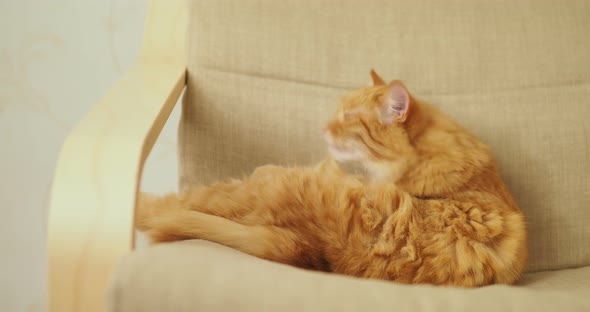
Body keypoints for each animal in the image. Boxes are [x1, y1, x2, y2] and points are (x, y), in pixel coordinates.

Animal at [136, 71, 528, 288]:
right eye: (338, 110)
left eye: (351, 117)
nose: (323, 128)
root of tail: (313, 245)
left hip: (266, 178)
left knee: (173, 204)